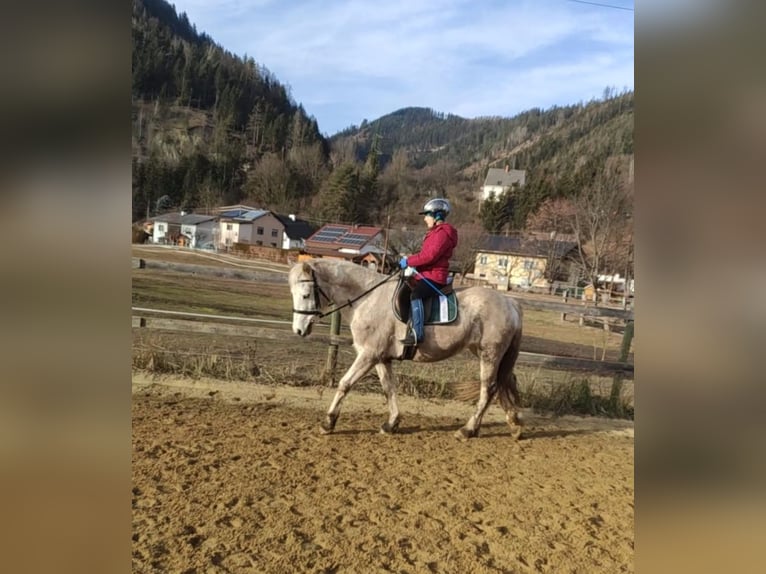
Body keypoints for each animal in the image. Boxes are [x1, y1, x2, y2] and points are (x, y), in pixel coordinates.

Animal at [290, 258, 528, 440]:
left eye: (305, 295)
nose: (299, 330)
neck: (367, 299)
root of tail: (510, 303)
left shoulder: (368, 354)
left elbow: (344, 384)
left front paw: (328, 423)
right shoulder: (381, 357)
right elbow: (389, 388)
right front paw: (391, 424)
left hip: (489, 354)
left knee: (488, 388)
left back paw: (468, 430)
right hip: (490, 354)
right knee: (505, 382)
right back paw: (514, 424)